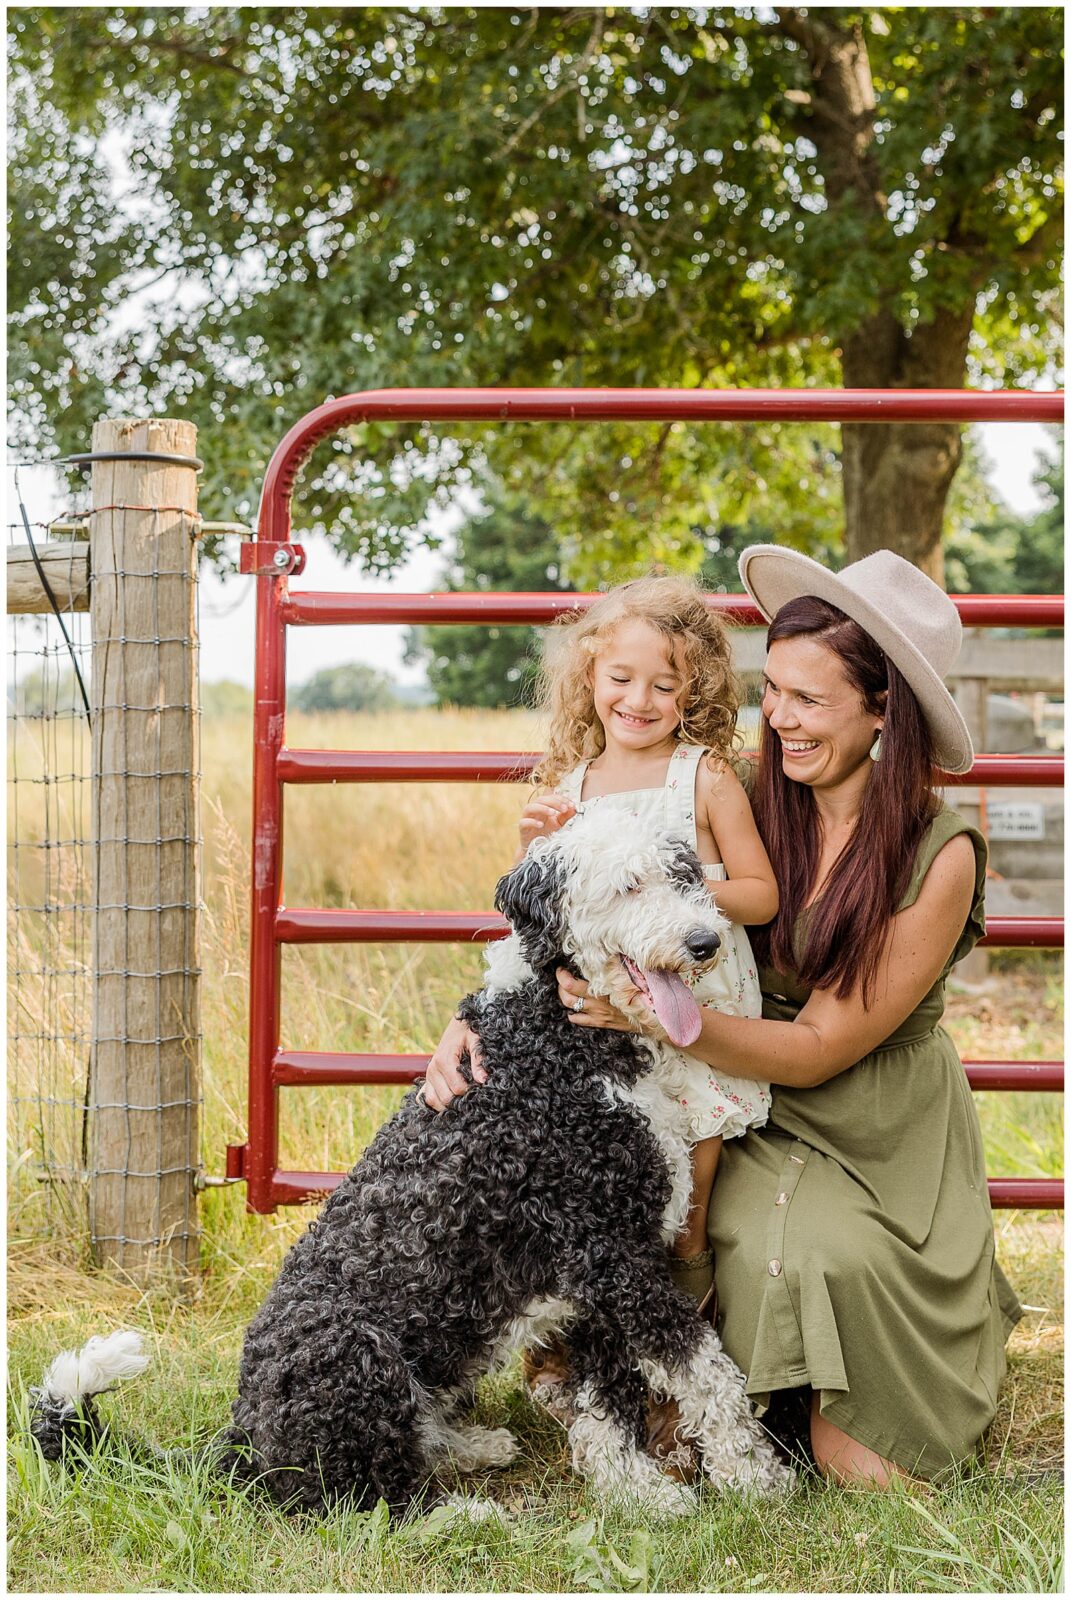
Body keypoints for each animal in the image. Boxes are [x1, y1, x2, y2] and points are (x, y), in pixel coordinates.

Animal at [29, 819, 790, 1516]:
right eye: (628, 886)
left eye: (685, 875)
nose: (704, 941)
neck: (555, 1033)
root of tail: (242, 1440)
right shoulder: (610, 1256)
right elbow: (706, 1372)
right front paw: (754, 1478)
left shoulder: (601, 1272)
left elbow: (607, 1401)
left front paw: (638, 1495)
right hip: (358, 1354)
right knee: (361, 1504)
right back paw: (464, 1517)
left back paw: (471, 1448)